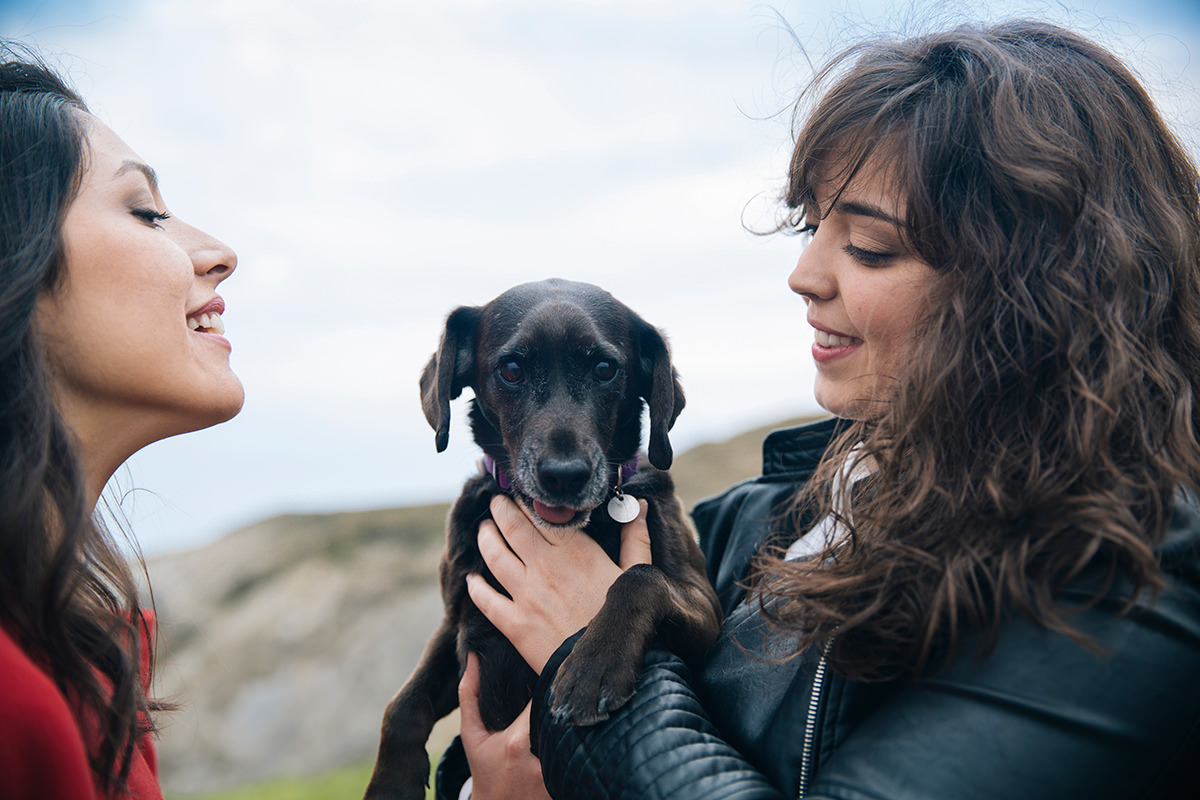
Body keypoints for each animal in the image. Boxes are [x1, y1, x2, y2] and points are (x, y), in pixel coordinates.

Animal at [364, 280, 720, 800]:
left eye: (604, 368)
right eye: (511, 369)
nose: (563, 477)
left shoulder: (707, 610)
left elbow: (641, 577)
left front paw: (592, 667)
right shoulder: (459, 622)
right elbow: (402, 702)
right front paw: (390, 783)